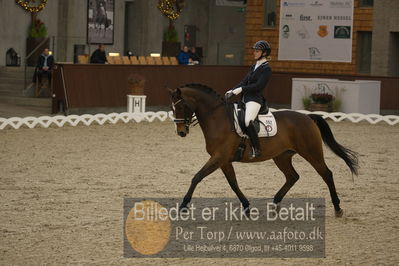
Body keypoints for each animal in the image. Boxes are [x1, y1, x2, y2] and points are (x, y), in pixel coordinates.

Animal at [169, 84, 360, 217]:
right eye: (172, 108)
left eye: (181, 106)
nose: (181, 132)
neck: (217, 118)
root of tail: (307, 117)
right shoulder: (223, 160)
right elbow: (233, 183)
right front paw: (247, 207)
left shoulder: (219, 157)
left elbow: (197, 177)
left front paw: (183, 205)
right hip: (282, 156)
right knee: (292, 176)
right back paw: (274, 205)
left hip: (311, 153)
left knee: (326, 174)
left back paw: (337, 208)